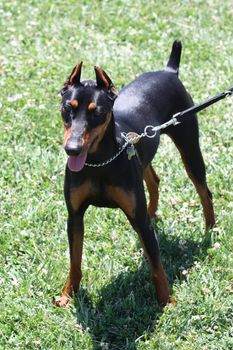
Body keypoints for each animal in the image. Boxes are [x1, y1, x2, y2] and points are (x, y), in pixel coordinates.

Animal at [56, 41, 215, 308]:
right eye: (68, 109)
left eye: (97, 113)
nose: (72, 149)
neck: (98, 162)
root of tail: (169, 71)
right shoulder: (75, 216)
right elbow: (74, 261)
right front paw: (68, 295)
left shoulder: (138, 220)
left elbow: (157, 265)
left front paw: (167, 302)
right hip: (143, 154)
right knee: (153, 181)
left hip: (189, 146)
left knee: (204, 192)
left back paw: (210, 231)